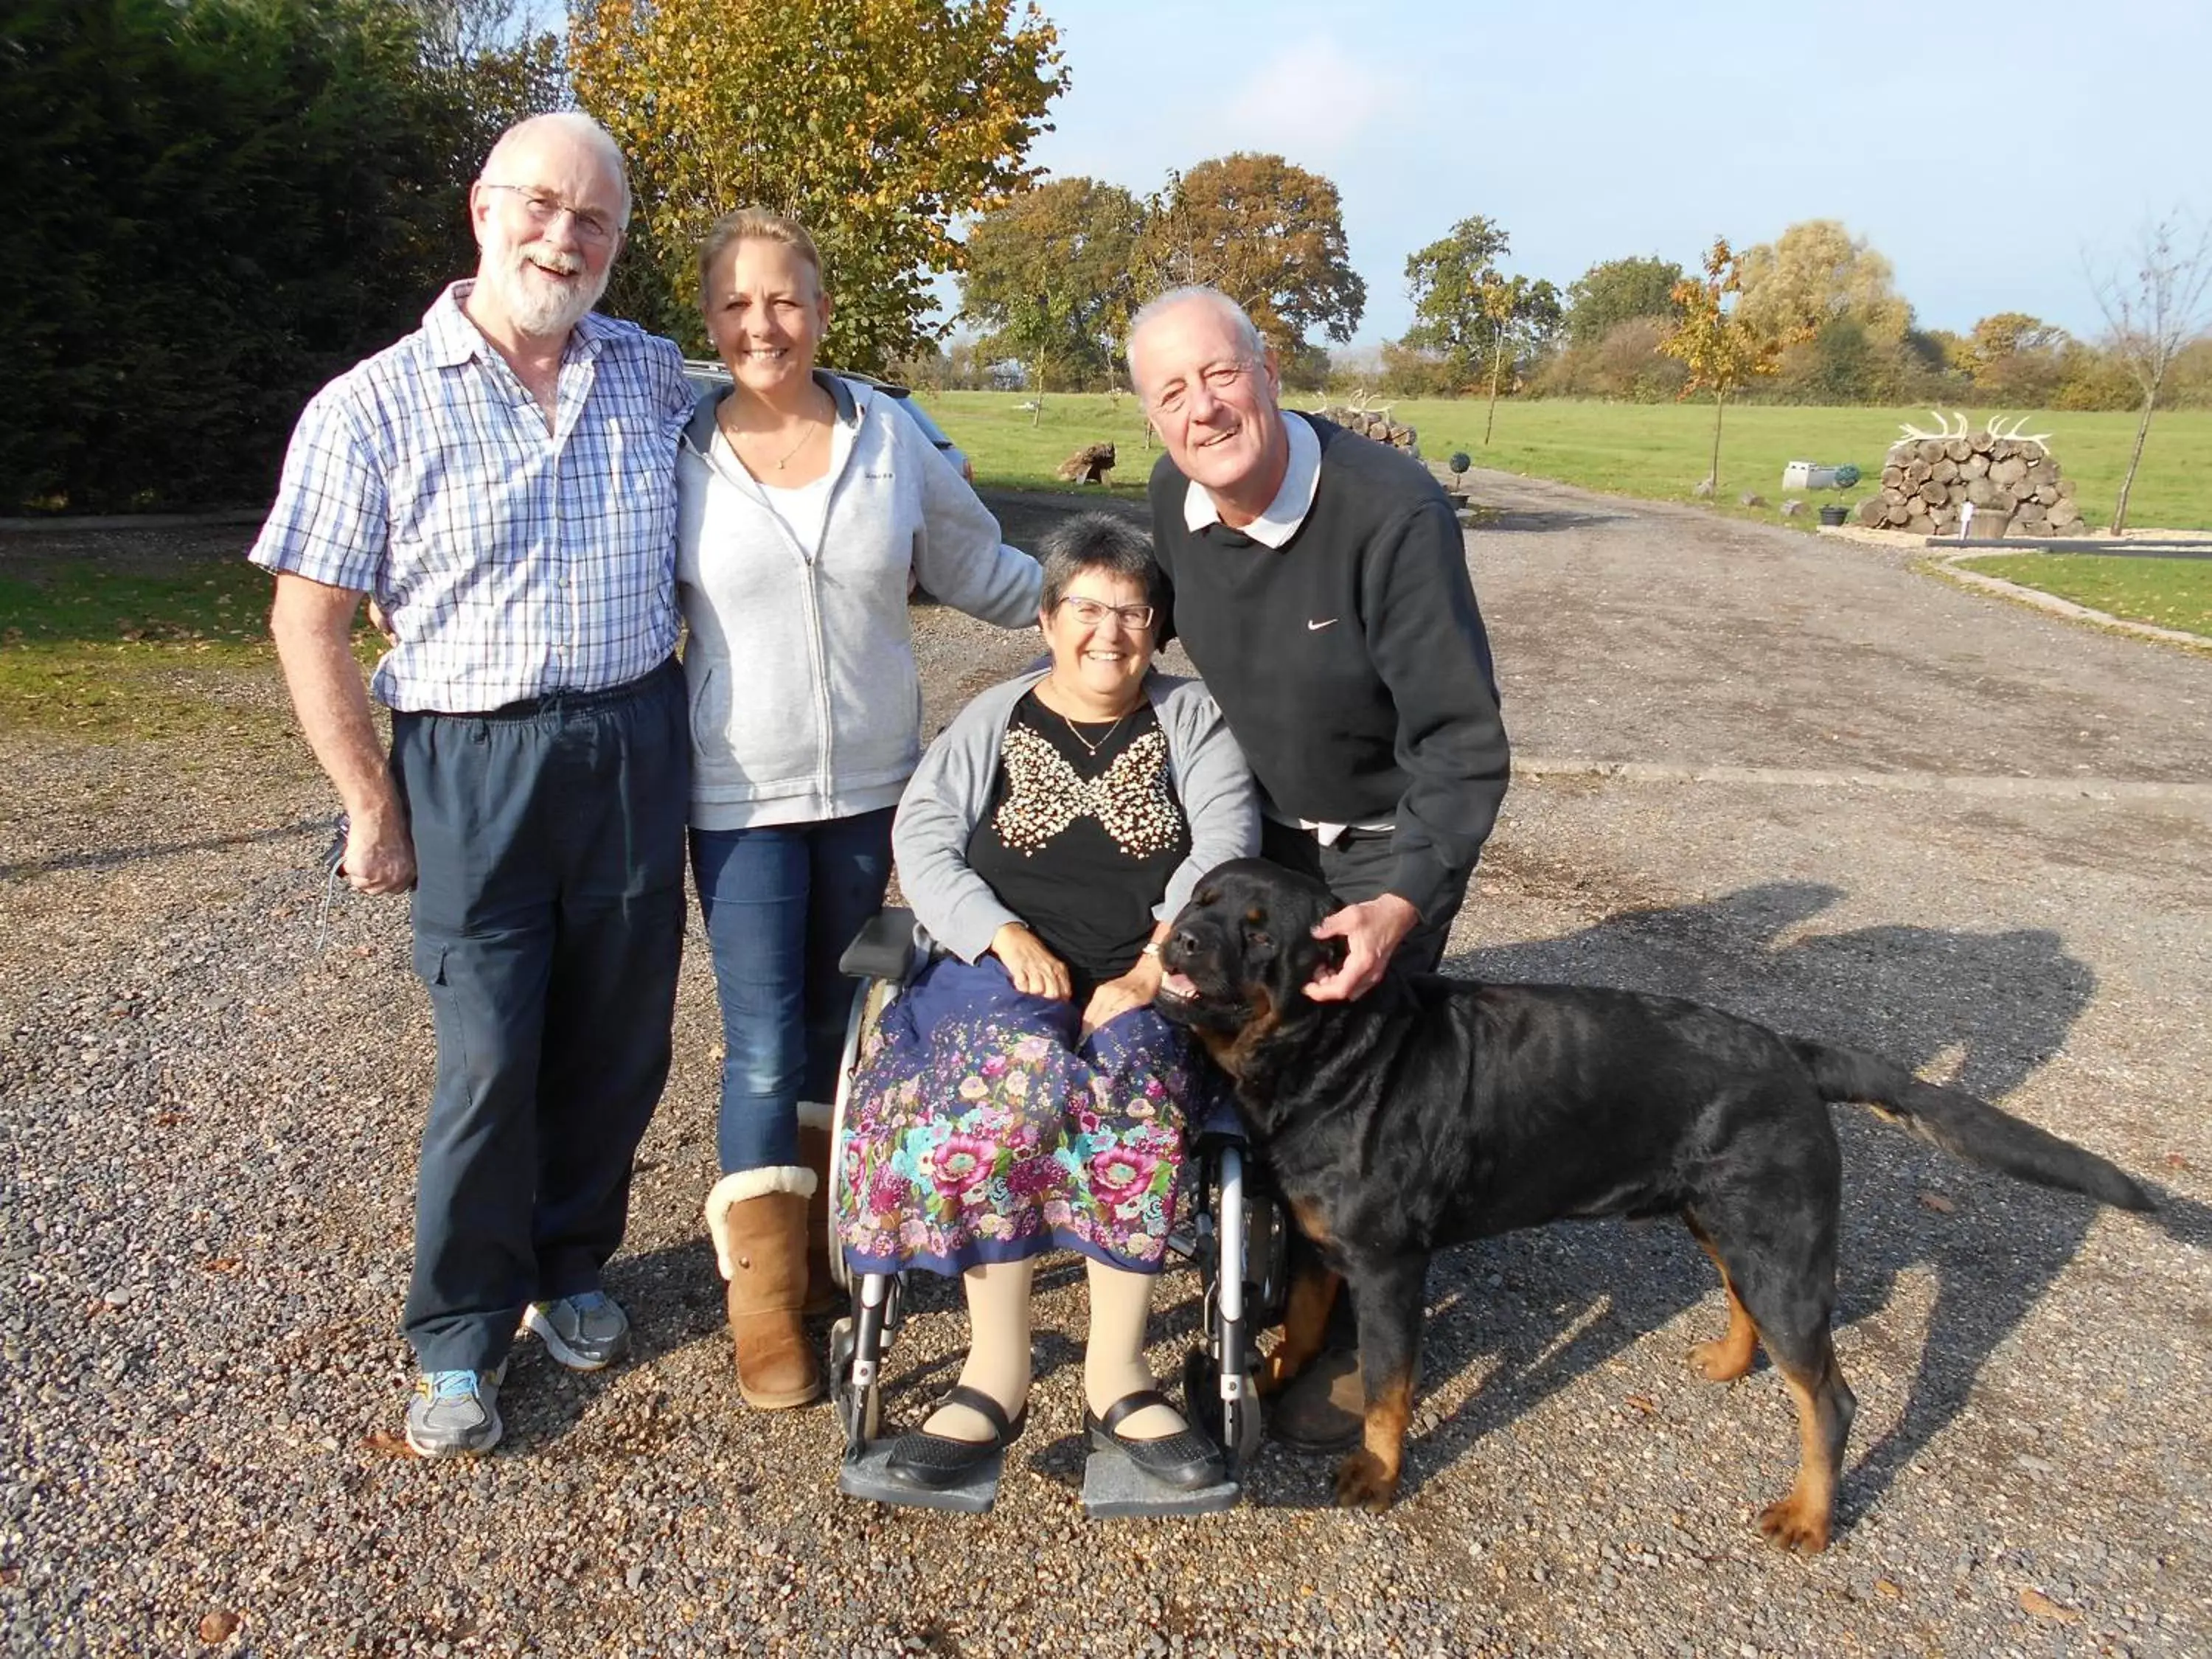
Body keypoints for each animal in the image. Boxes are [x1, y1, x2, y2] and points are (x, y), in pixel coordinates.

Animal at [1150, 863, 2150, 1557]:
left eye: (1258, 934)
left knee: (1829, 1398)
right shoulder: (1318, 1239)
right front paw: (1265, 1381)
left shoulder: (1391, 1263)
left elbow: (1390, 1387)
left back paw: (1809, 1515)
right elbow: (1302, 1323)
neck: (1333, 1051)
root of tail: (1794, 1053)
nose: (1181, 941)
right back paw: (1729, 1361)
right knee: (1747, 1306)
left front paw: (1376, 1472)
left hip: (1784, 1247)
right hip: (1726, 1221)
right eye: (1202, 898)